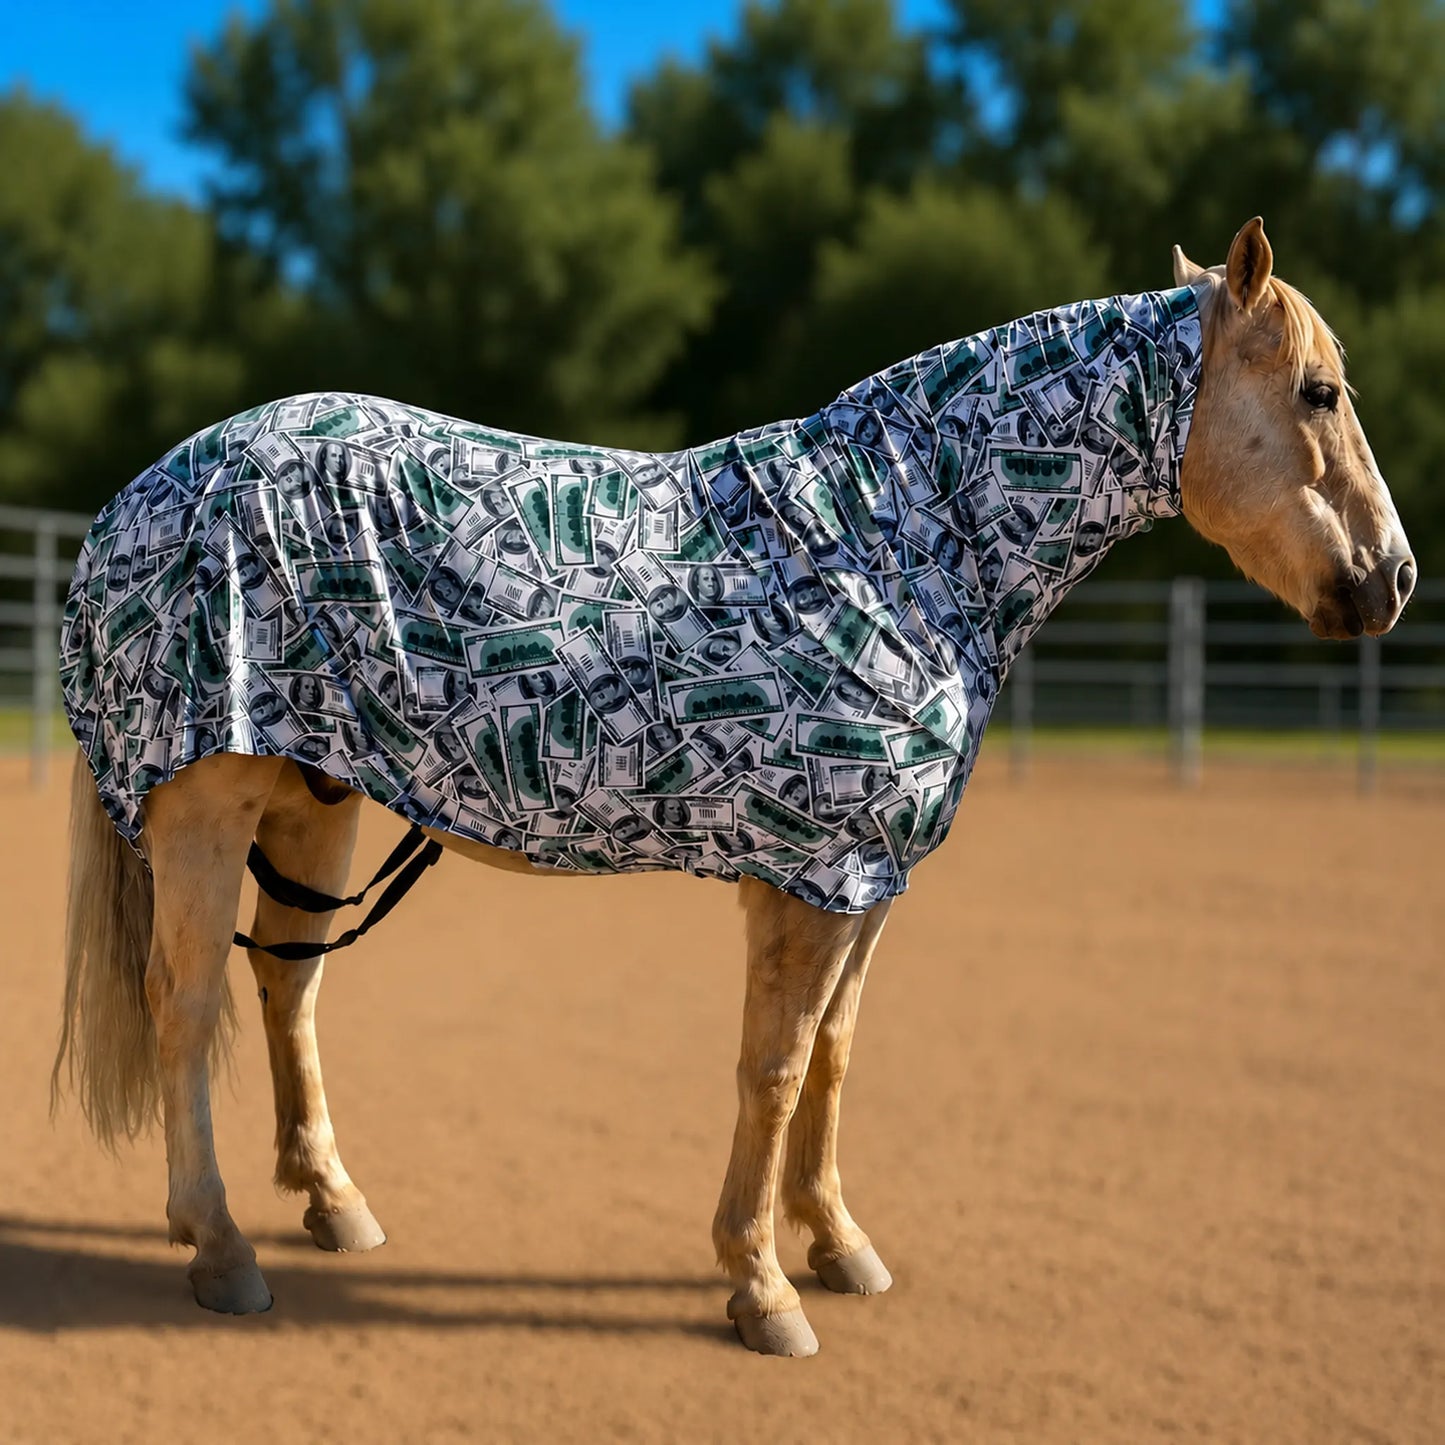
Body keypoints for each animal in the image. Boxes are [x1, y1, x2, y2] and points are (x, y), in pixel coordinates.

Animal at [54, 218, 1414, 1355]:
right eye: (1317, 391)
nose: (1391, 579)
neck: (892, 546)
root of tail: (146, 494)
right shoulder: (806, 882)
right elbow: (772, 1066)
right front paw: (760, 1288)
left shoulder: (864, 882)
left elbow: (832, 1059)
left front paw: (837, 1246)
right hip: (208, 810)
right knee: (185, 1005)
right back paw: (221, 1249)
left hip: (313, 805)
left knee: (289, 989)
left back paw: (332, 1206)